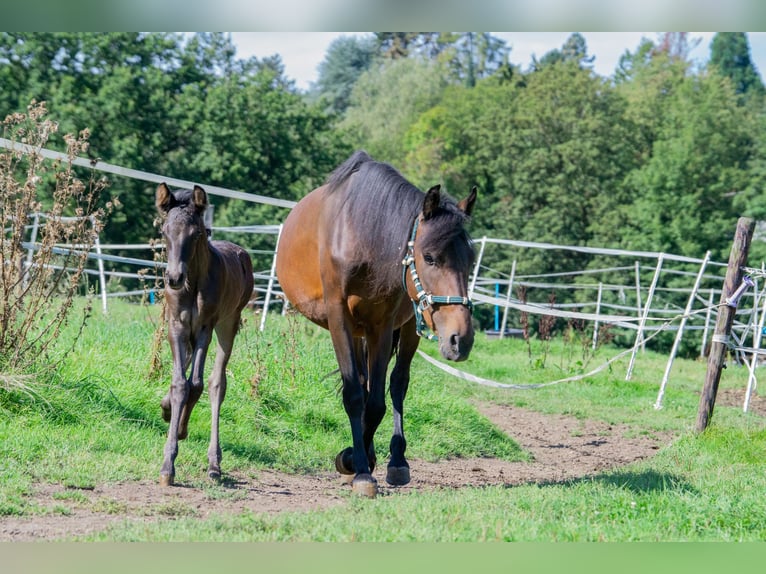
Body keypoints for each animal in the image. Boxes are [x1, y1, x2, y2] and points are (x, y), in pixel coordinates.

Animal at [155, 183, 255, 486]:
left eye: (196, 233)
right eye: (164, 231)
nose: (173, 278)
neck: (192, 283)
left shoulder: (204, 329)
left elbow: (196, 384)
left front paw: (179, 435)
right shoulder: (176, 326)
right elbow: (179, 384)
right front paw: (167, 463)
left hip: (229, 323)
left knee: (215, 383)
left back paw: (214, 463)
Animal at [280, 153, 476, 500]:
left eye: (471, 260)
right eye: (429, 257)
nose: (461, 339)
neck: (362, 236)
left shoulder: (382, 327)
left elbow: (376, 403)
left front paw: (357, 461)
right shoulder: (341, 322)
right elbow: (355, 395)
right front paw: (357, 466)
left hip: (408, 327)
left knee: (397, 383)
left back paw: (396, 460)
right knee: (364, 382)